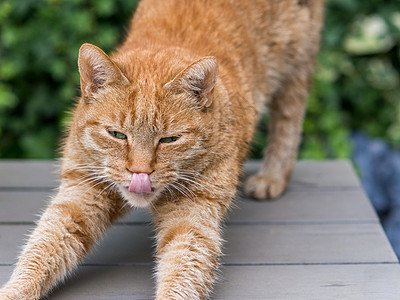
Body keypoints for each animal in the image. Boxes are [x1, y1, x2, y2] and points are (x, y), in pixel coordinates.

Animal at [0, 1, 324, 298]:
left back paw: (272, 177)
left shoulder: (192, 215)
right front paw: (15, 291)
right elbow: (42, 247)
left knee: (289, 120)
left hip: (297, 64)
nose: (140, 171)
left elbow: (182, 271)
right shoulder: (80, 193)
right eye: (117, 135)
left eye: (169, 140)